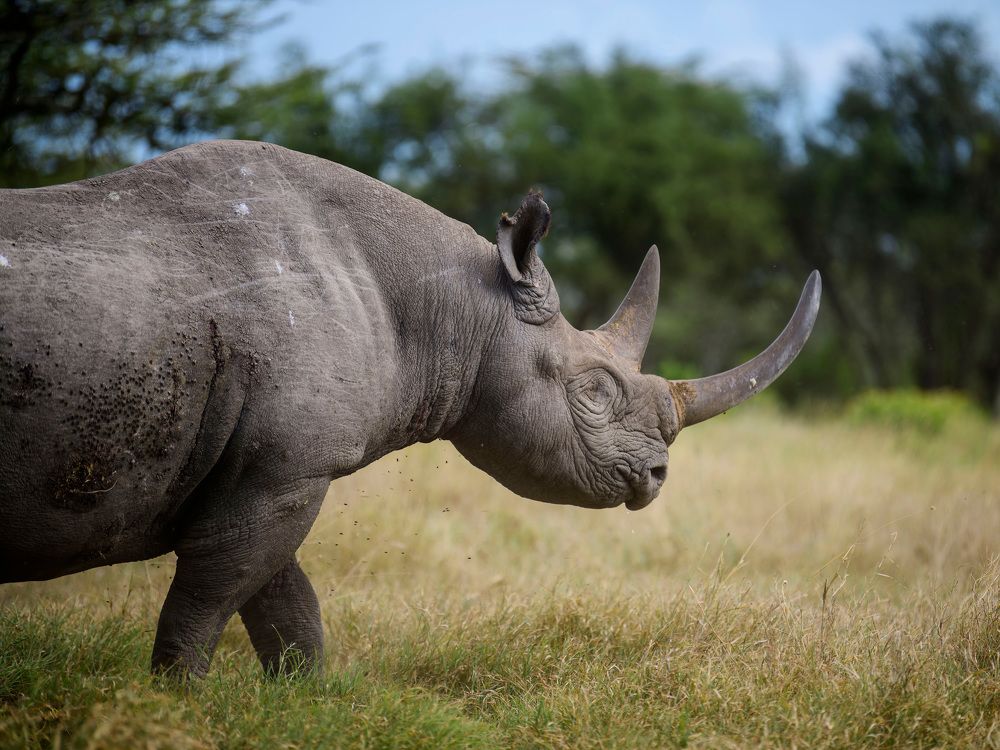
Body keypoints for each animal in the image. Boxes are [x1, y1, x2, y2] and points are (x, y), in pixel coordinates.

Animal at [0, 140, 820, 677]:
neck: (458, 307)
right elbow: (208, 601)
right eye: (593, 392)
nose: (655, 477)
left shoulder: (272, 470)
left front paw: (301, 704)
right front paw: (176, 702)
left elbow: (282, 602)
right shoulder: (284, 469)